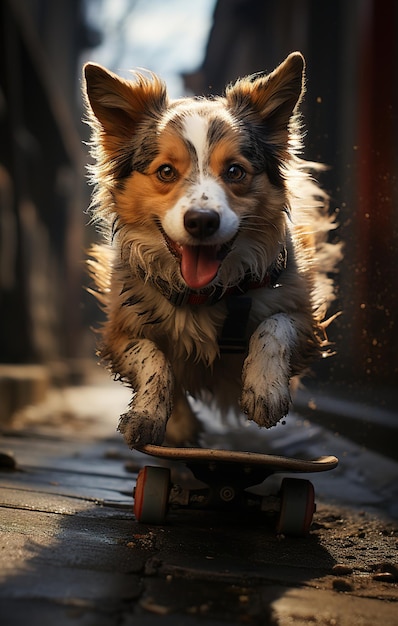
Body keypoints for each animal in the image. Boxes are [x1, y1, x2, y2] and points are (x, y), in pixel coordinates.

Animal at [81, 51, 342, 446]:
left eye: (235, 171)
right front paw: (152, 415)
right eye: (166, 172)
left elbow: (275, 326)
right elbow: (151, 356)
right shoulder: (119, 329)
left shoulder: (306, 318)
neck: (204, 295)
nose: (202, 221)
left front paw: (265, 390)